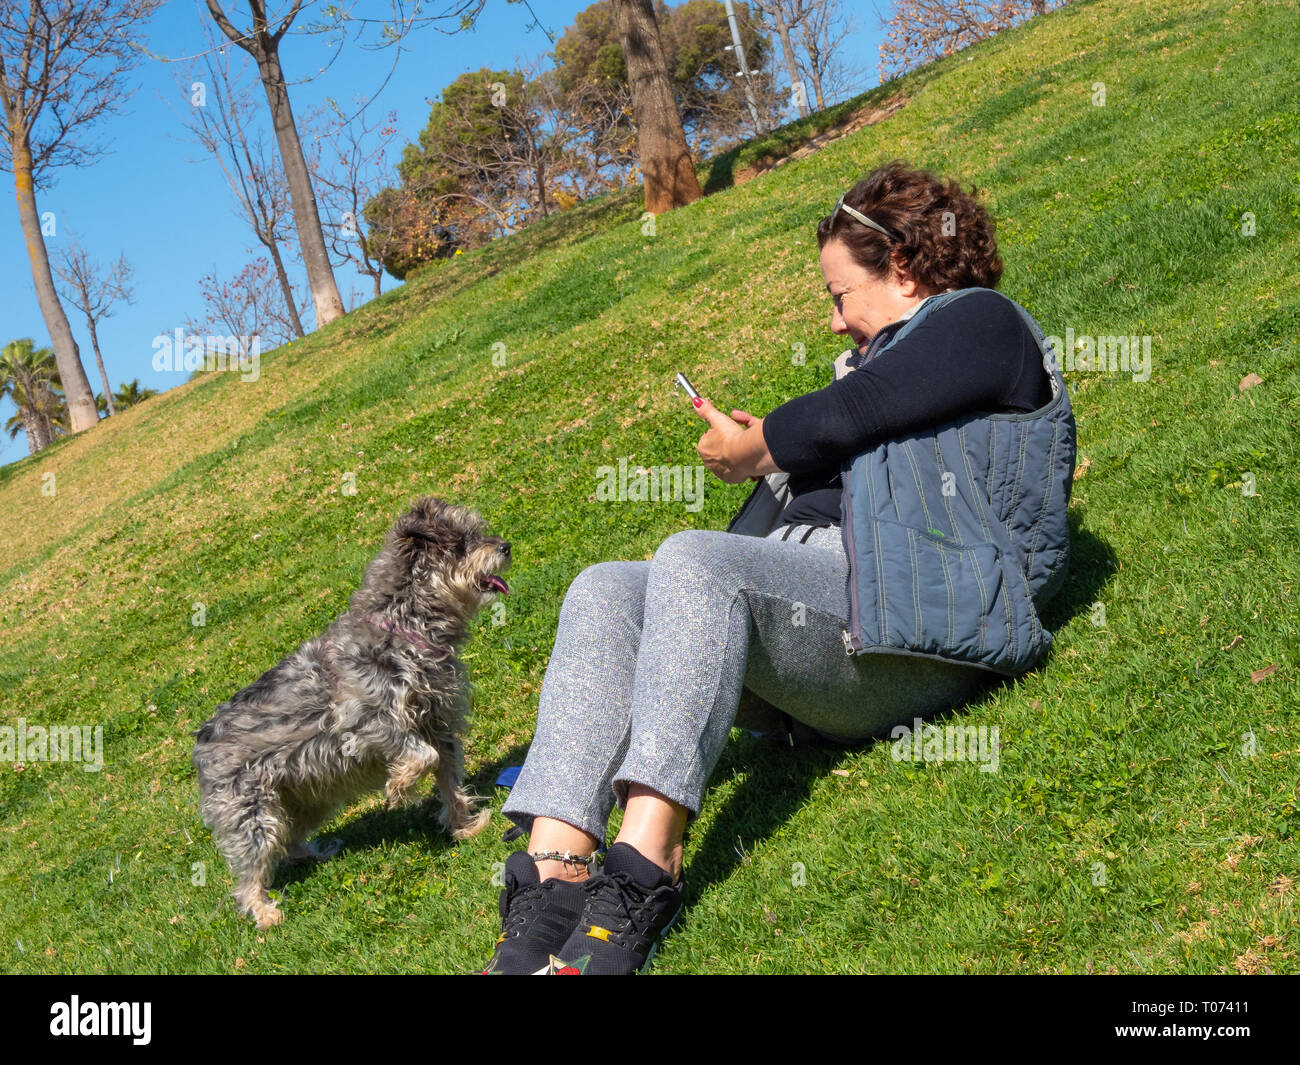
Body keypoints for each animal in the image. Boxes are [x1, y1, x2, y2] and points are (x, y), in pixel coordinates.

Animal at [192, 496, 512, 925]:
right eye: (461, 543)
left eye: (477, 532)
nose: (504, 547)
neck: (406, 628)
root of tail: (202, 739)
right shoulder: (367, 725)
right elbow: (423, 757)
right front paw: (401, 786)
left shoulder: (441, 722)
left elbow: (448, 778)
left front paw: (464, 826)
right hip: (251, 815)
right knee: (249, 875)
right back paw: (264, 912)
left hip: (309, 799)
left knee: (289, 840)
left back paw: (314, 853)